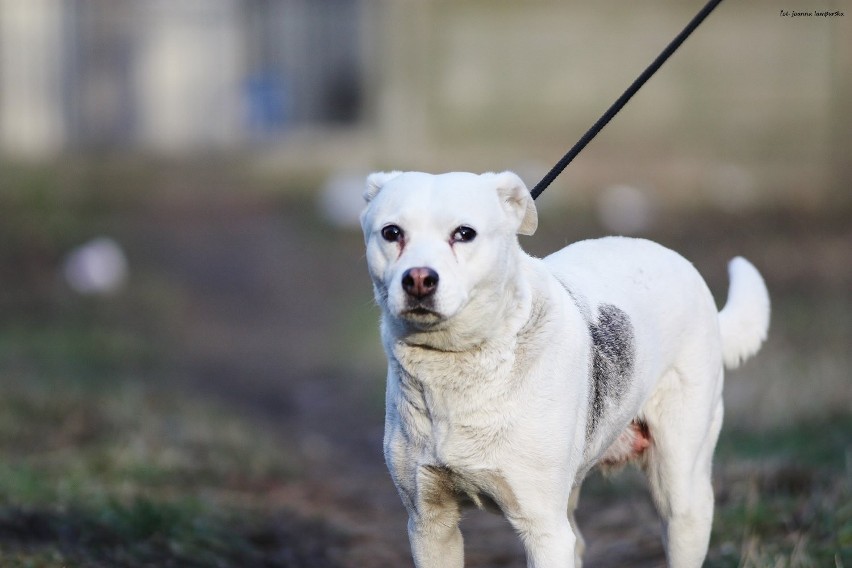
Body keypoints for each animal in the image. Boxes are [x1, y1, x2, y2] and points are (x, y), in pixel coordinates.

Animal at [360, 171, 772, 564]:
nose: (418, 279)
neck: (458, 367)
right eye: (392, 233)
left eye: (464, 233)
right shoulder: (429, 525)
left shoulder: (544, 530)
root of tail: (680, 261)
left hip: (682, 496)